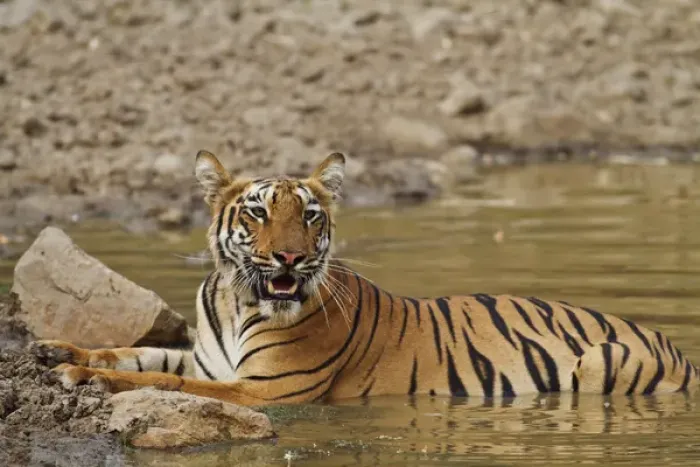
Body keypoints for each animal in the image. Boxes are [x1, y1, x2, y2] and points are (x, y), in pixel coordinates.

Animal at [32, 150, 699, 406]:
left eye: (309, 215)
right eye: (257, 212)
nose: (289, 259)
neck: (238, 299)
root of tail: (678, 348)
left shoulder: (264, 390)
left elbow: (161, 381)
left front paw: (81, 376)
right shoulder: (206, 359)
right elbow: (137, 353)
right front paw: (54, 351)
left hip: (601, 363)